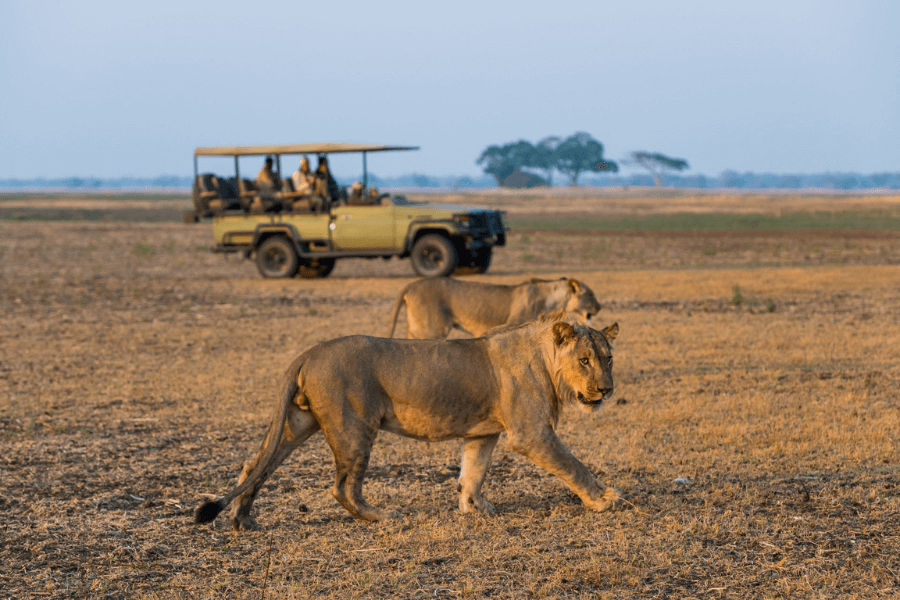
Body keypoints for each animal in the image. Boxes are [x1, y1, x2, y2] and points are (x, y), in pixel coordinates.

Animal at [194, 315, 621, 530]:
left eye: (608, 358)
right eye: (585, 360)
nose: (607, 389)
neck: (547, 360)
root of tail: (309, 352)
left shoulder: (484, 433)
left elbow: (473, 471)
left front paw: (474, 507)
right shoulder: (530, 434)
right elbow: (573, 464)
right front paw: (603, 499)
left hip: (299, 421)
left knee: (256, 464)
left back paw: (242, 518)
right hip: (354, 429)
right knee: (342, 488)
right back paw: (382, 516)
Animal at [386, 277, 603, 339]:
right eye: (591, 295)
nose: (600, 306)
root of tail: (411, 284)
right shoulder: (514, 324)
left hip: (416, 327)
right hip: (432, 329)